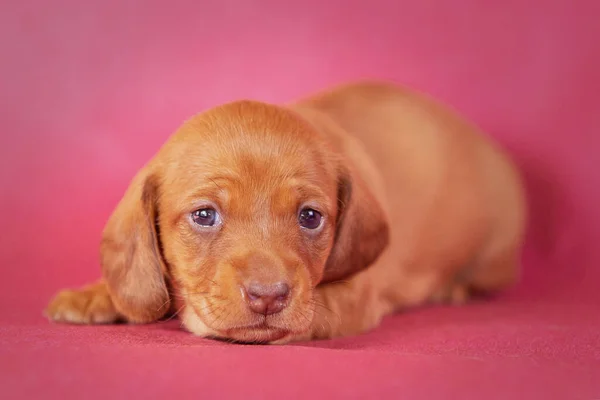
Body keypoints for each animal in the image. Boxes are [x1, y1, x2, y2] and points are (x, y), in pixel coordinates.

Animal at [45, 82, 524, 344]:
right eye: (204, 216)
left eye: (310, 217)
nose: (268, 297)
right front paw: (95, 293)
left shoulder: (353, 296)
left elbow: (313, 311)